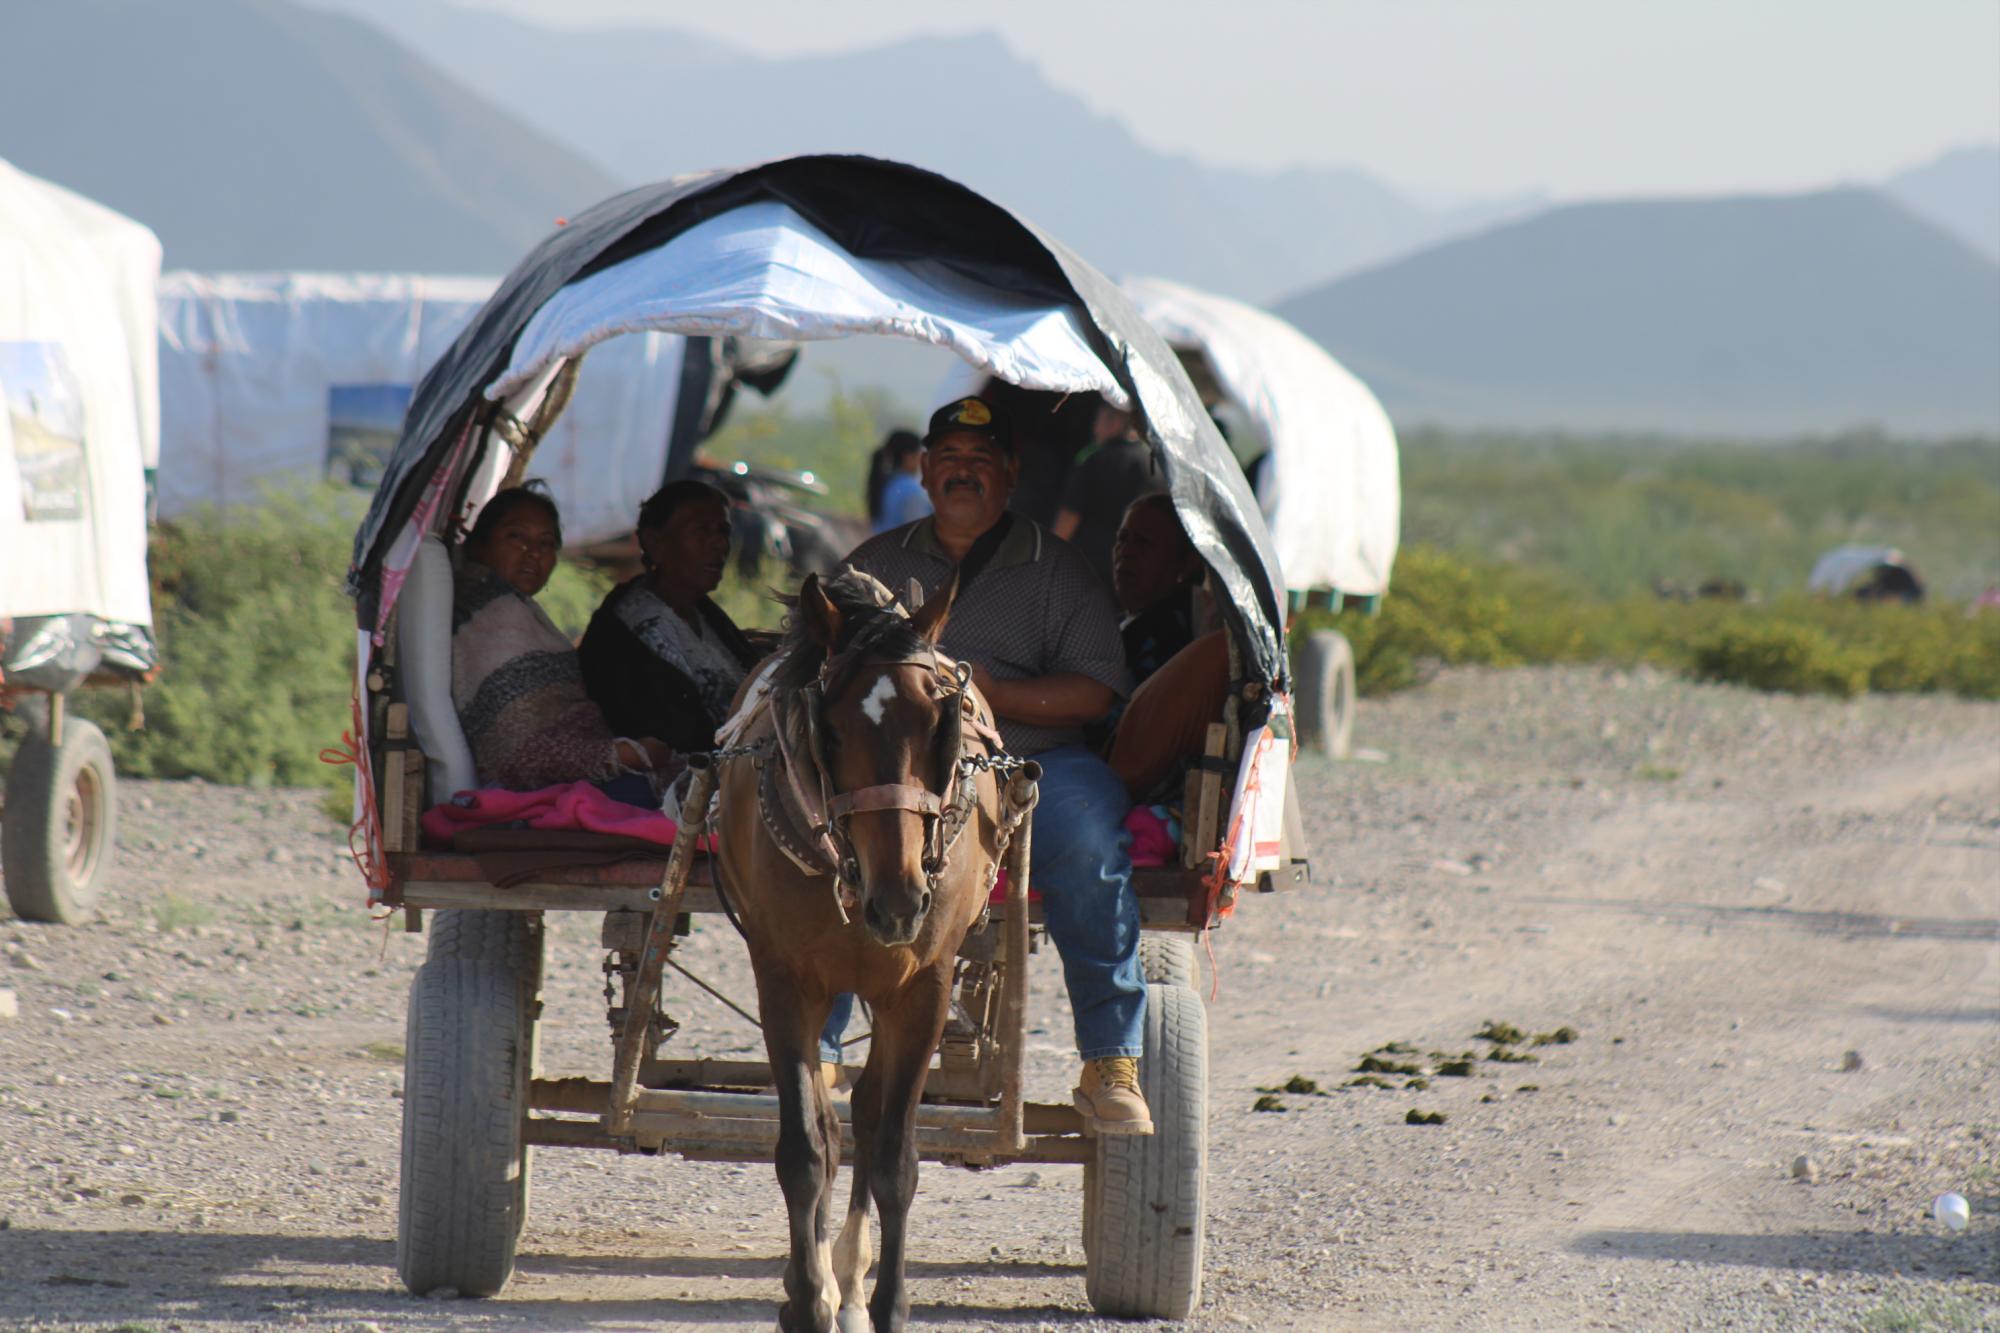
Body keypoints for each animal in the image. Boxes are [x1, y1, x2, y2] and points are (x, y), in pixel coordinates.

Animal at [712, 564, 1016, 1320]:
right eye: (835, 732)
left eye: (939, 724)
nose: (900, 900)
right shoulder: (784, 979)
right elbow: (805, 1147)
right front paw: (806, 1300)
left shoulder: (924, 987)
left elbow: (894, 1155)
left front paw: (887, 1303)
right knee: (830, 1119)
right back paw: (825, 1276)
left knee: (873, 1108)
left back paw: (850, 1276)